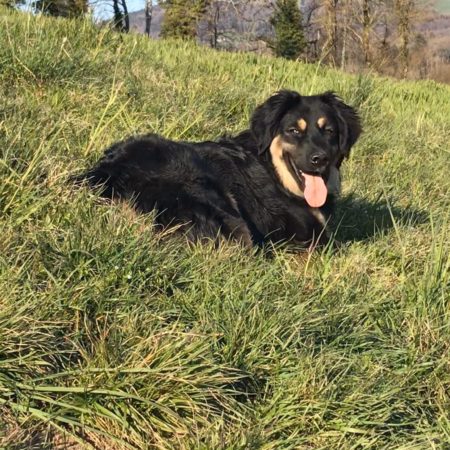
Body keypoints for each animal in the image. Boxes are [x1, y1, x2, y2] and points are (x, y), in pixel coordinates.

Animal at [74, 89, 362, 248]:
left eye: (329, 131)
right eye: (294, 131)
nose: (319, 159)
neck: (275, 174)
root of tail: (107, 176)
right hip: (228, 216)